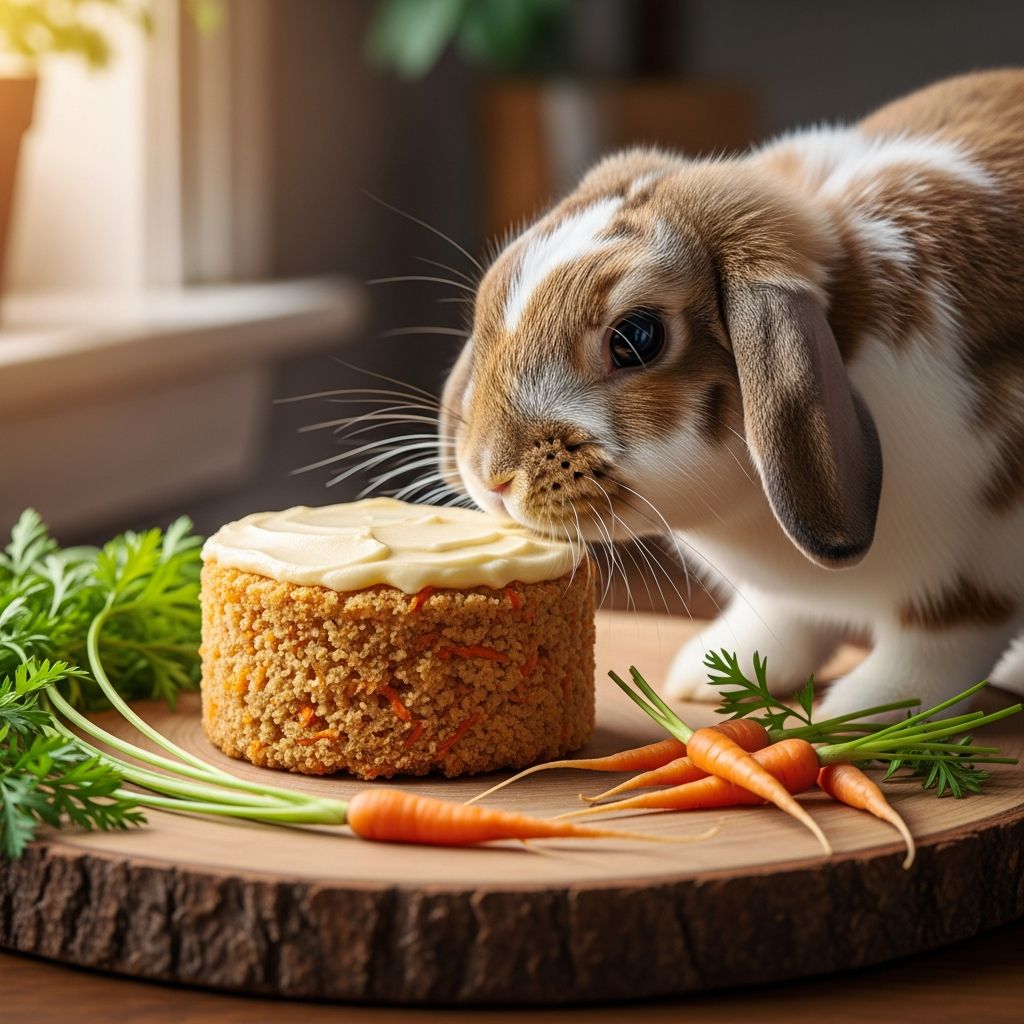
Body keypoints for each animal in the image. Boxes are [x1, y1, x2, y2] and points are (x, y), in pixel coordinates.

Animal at [437, 69, 1024, 717]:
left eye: (637, 338)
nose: (490, 475)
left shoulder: (975, 569)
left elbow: (937, 645)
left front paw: (862, 711)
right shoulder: (792, 594)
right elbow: (787, 616)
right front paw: (710, 672)